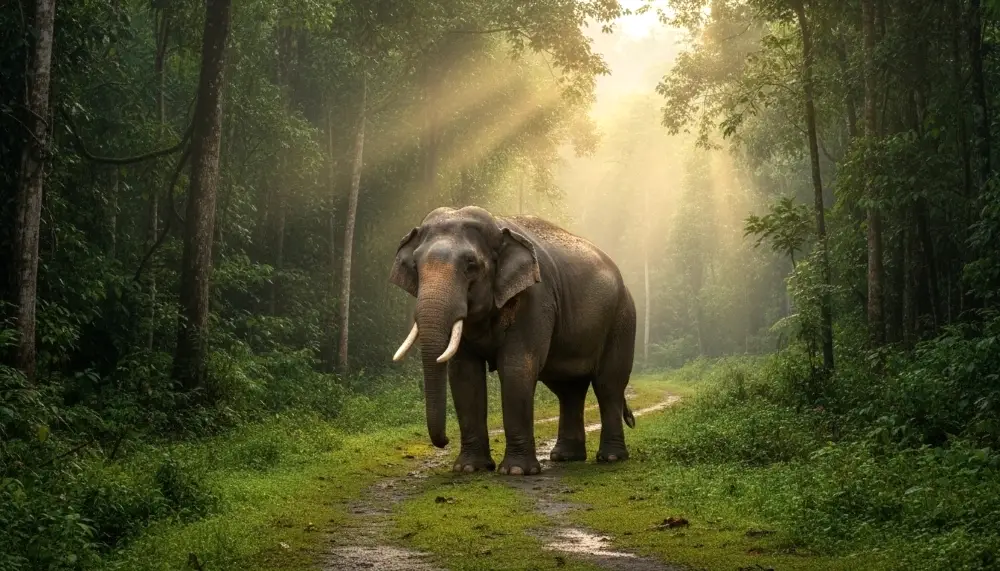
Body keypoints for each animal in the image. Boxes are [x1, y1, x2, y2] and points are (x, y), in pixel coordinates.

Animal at [389, 206, 637, 476]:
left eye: (470, 264)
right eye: (415, 265)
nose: (443, 442)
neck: (499, 227)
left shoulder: (535, 298)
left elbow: (516, 368)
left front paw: (517, 471)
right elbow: (465, 374)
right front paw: (469, 468)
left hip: (622, 319)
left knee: (608, 384)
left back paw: (611, 457)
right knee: (568, 389)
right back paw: (566, 457)